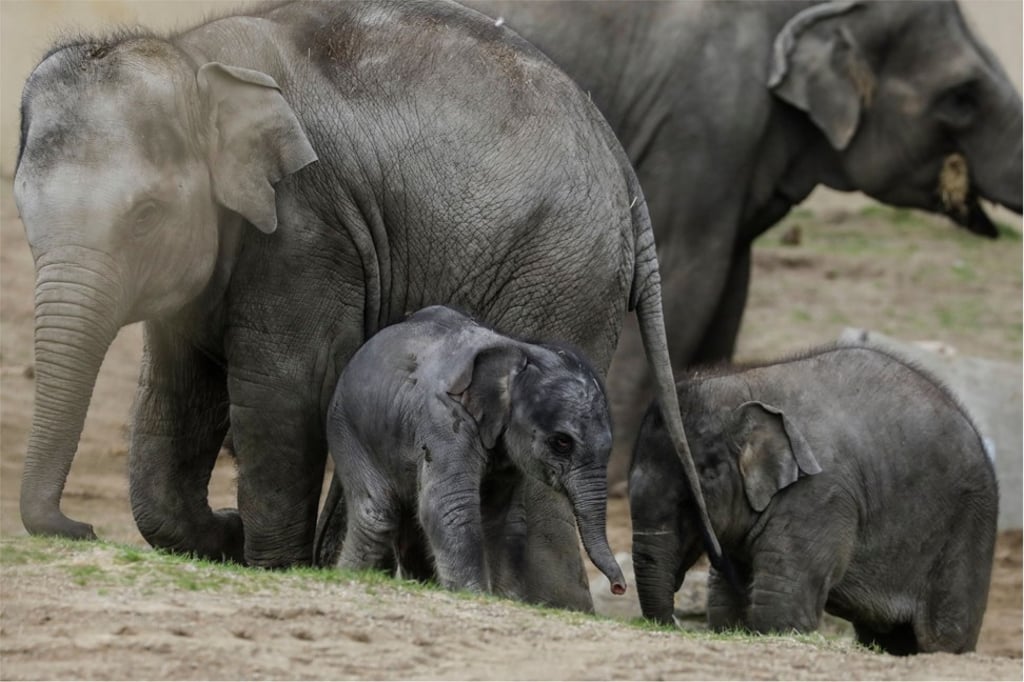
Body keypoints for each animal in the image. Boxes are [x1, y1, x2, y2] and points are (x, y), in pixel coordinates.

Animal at [314, 305, 626, 603]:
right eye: (561, 442)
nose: (619, 587)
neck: (519, 353)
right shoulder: (444, 422)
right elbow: (447, 506)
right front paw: (475, 594)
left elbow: (502, 517)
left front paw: (509, 599)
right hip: (347, 428)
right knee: (377, 514)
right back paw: (349, 576)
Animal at [629, 344, 998, 655]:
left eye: (703, 478)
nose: (673, 623)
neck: (745, 385)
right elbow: (725, 604)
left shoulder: (820, 495)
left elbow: (780, 609)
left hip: (966, 534)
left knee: (946, 637)